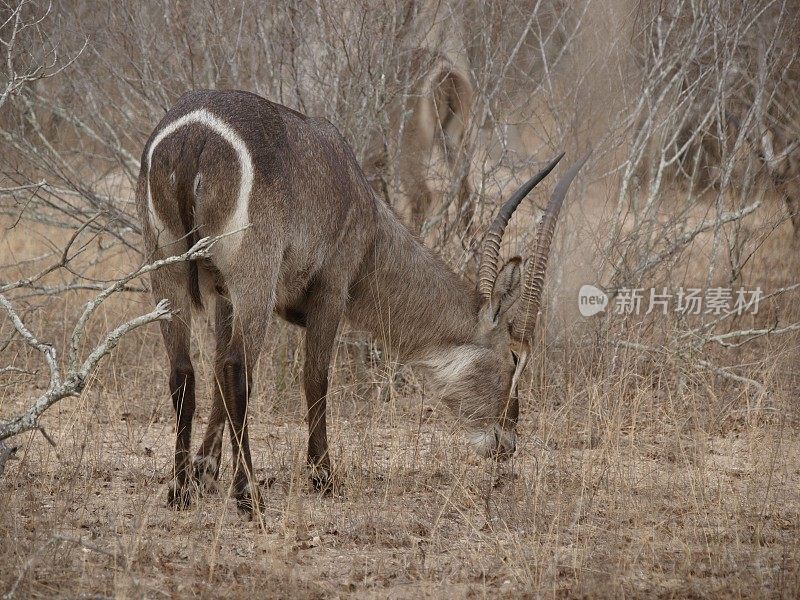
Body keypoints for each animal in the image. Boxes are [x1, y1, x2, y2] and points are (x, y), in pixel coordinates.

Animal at [136, 89, 588, 516]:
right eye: (514, 357)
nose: (506, 441)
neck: (365, 207)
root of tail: (195, 135)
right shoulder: (331, 290)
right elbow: (315, 378)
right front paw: (324, 477)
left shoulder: (225, 296)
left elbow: (214, 373)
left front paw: (204, 470)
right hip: (254, 277)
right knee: (237, 368)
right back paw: (249, 496)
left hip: (168, 271)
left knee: (184, 370)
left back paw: (179, 490)